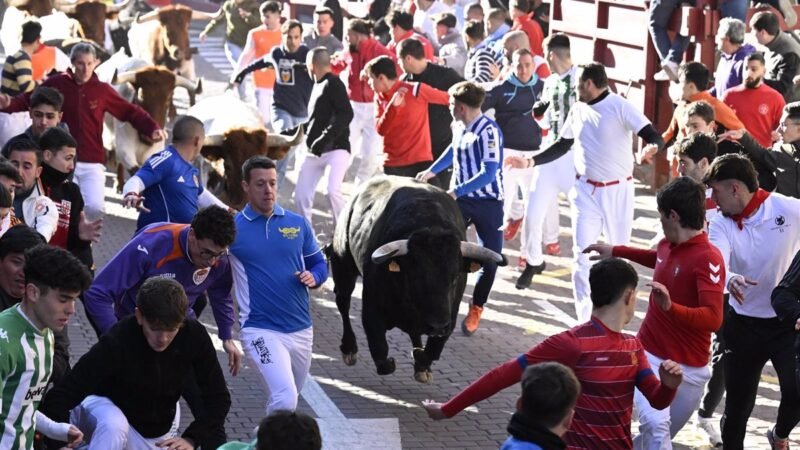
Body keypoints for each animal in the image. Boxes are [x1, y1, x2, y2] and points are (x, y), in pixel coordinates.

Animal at [326, 176, 504, 384]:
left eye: (454, 278)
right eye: (416, 277)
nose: (437, 325)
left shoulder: (449, 317)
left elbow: (432, 350)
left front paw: (421, 361)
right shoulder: (371, 309)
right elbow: (381, 351)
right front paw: (395, 360)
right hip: (343, 263)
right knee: (343, 302)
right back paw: (349, 349)